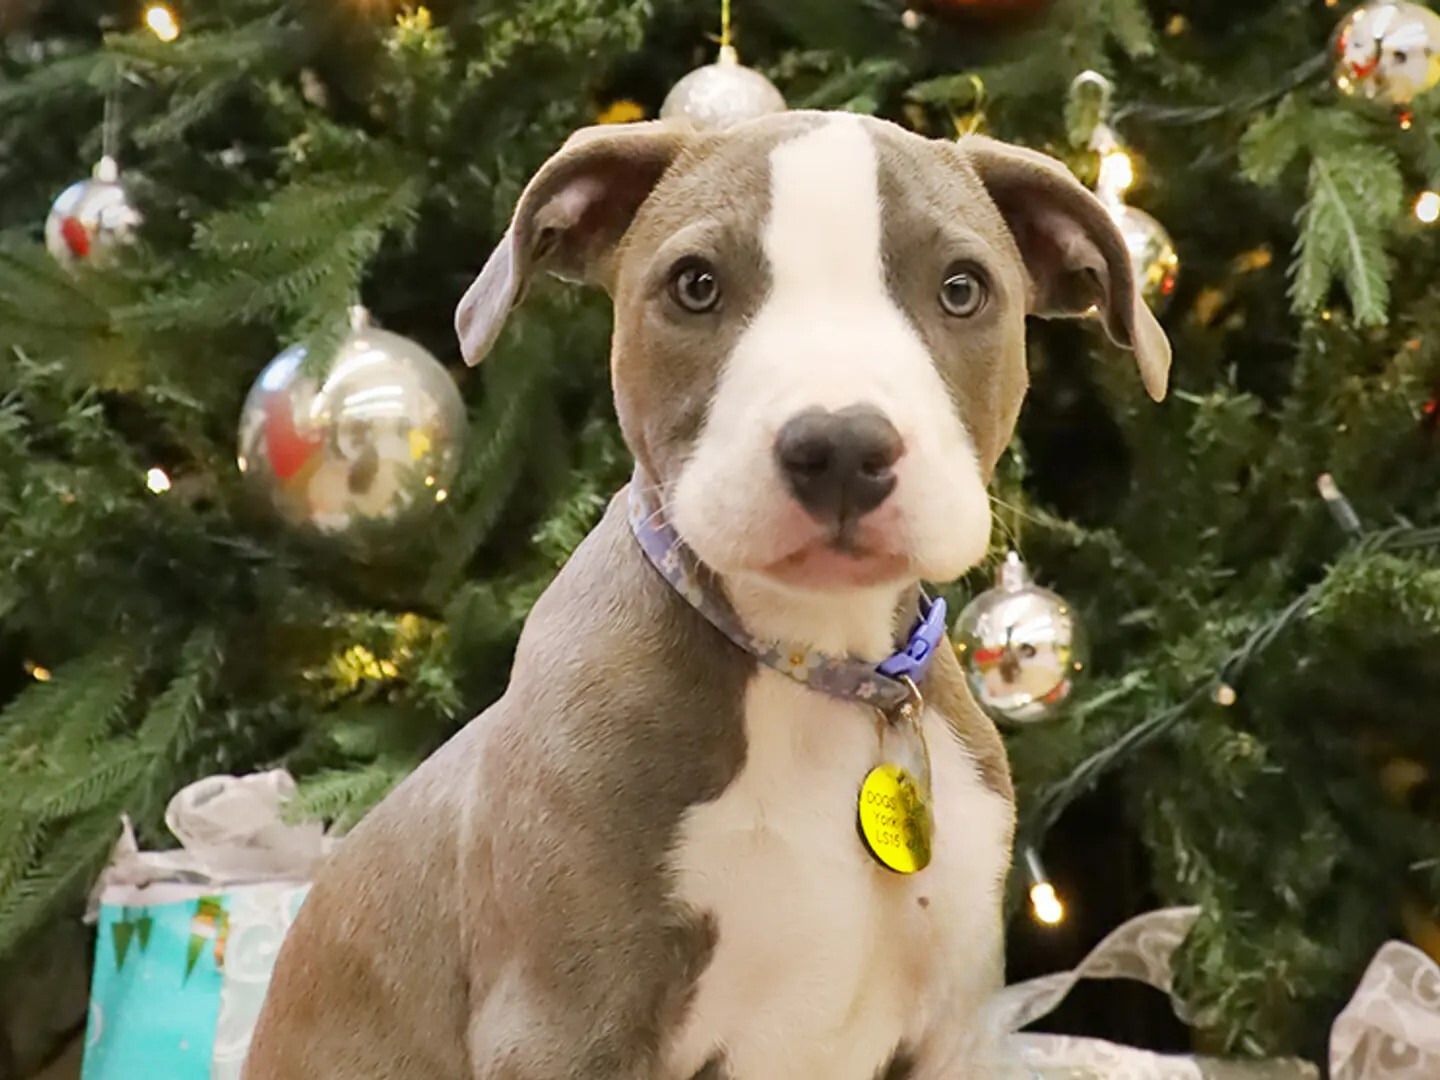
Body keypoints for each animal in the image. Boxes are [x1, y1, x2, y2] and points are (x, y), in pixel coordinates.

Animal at [250, 112, 1169, 1080]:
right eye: (696, 285)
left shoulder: (955, 1029)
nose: (841, 447)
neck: (814, 661)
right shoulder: (563, 1026)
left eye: (962, 290)